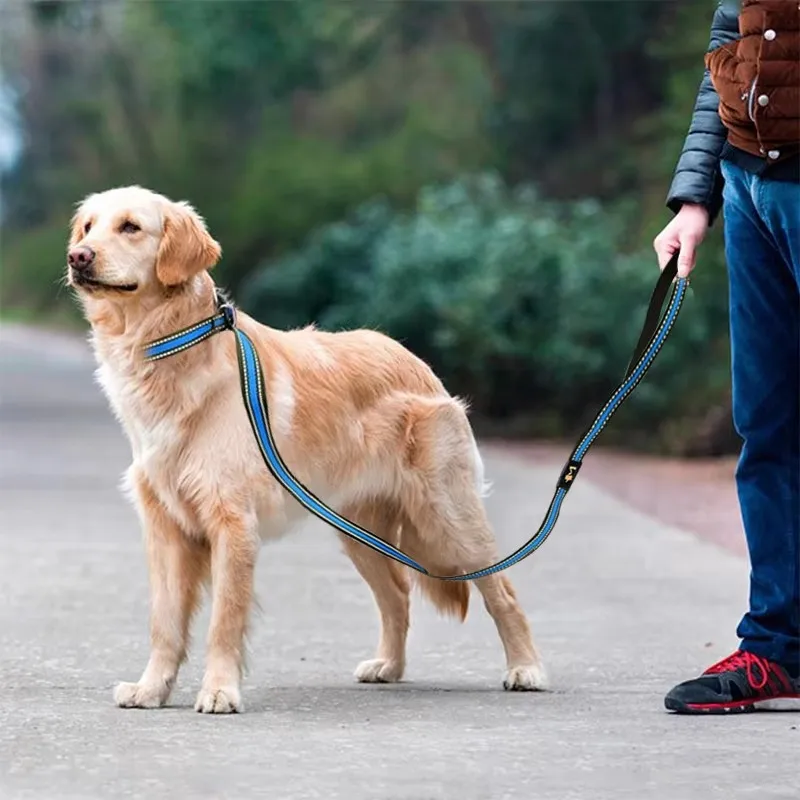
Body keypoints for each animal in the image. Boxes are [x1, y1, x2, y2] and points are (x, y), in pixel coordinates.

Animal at [65, 186, 548, 712]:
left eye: (131, 227)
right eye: (88, 227)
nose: (78, 257)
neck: (171, 344)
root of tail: (416, 361)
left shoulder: (233, 522)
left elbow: (223, 621)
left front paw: (219, 691)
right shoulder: (166, 528)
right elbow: (165, 623)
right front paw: (151, 688)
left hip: (449, 517)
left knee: (502, 590)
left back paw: (526, 669)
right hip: (358, 529)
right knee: (397, 594)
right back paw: (389, 666)